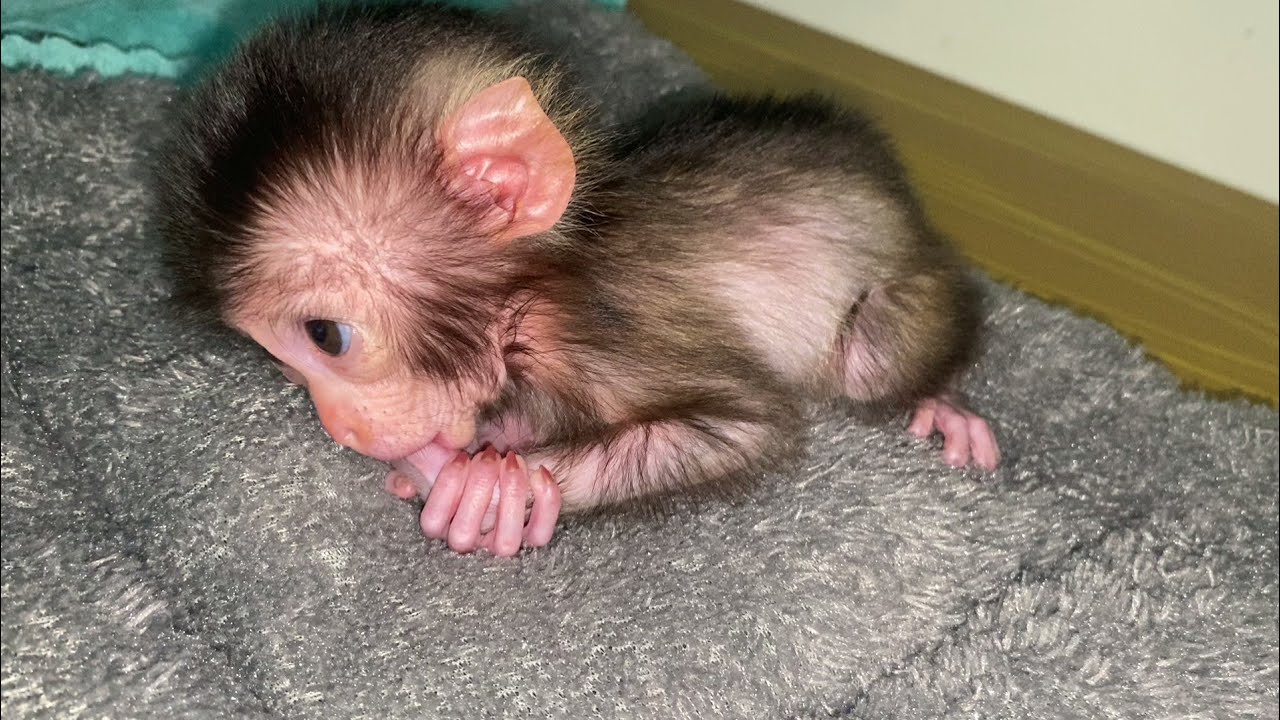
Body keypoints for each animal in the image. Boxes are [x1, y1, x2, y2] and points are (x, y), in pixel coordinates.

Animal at [158, 2, 1000, 558]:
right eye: (280, 360)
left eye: (326, 337)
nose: (344, 431)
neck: (525, 298)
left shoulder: (596, 341)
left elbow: (745, 427)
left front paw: (489, 488)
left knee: (872, 357)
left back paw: (940, 402)